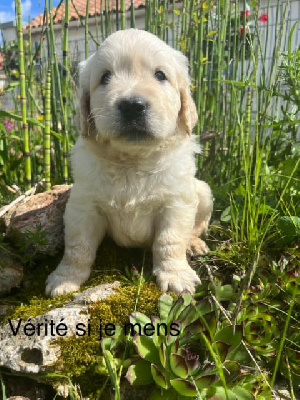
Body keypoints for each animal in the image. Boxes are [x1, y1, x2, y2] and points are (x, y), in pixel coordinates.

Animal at [45, 28, 213, 296]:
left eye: (160, 75)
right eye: (105, 77)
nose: (133, 106)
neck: (132, 160)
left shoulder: (176, 203)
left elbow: (170, 240)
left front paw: (176, 275)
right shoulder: (83, 205)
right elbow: (78, 246)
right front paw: (65, 278)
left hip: (203, 191)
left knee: (196, 226)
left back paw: (194, 244)